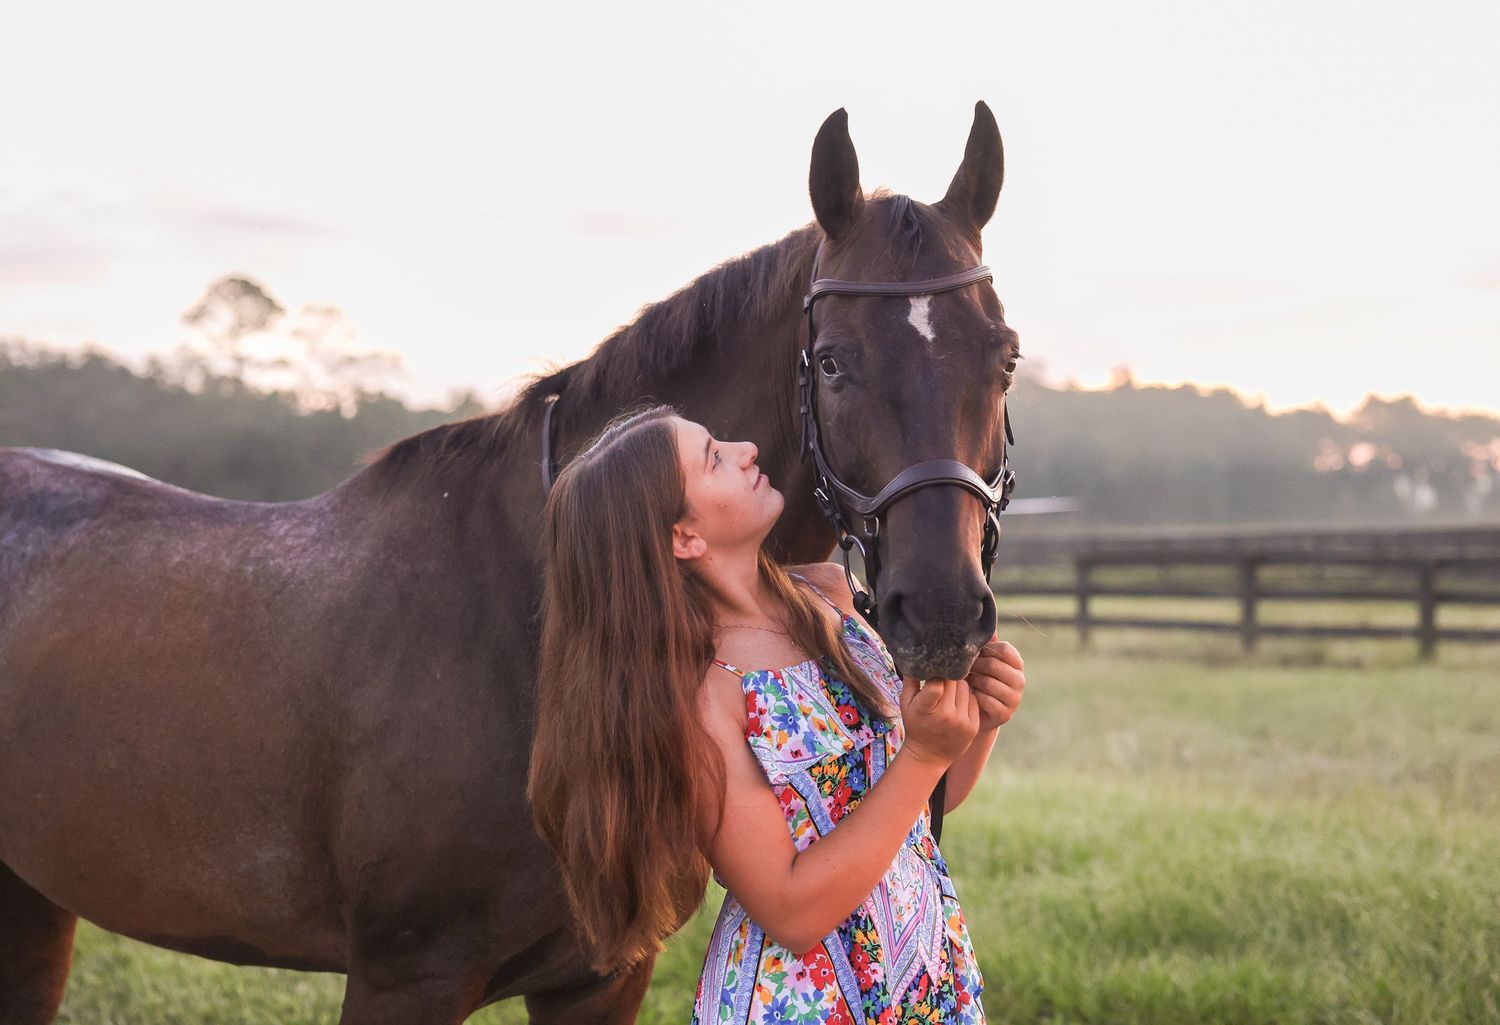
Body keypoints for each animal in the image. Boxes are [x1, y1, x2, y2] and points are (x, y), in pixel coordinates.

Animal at [0, 102, 1019, 1024]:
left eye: (1004, 358)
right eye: (834, 362)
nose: (941, 616)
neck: (531, 616)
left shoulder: (602, 977)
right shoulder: (405, 979)